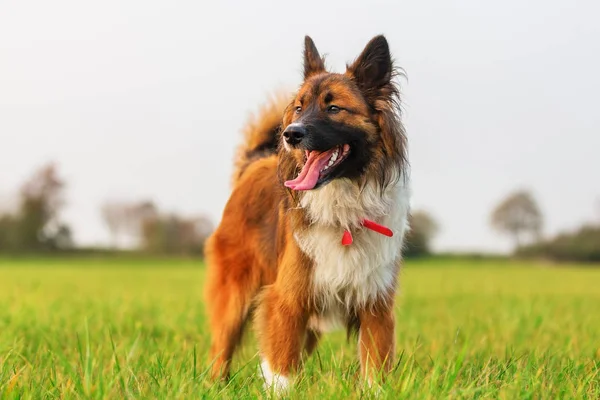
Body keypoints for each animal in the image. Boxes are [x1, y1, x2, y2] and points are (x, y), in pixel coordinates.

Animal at [204, 35, 410, 394]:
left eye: (334, 108)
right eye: (299, 107)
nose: (291, 134)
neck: (342, 201)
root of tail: (254, 164)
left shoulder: (375, 304)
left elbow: (375, 367)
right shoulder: (287, 300)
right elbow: (281, 371)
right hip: (233, 297)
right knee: (221, 353)